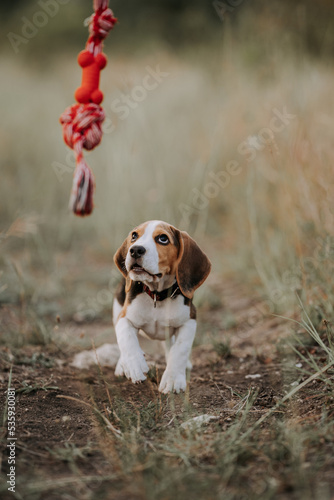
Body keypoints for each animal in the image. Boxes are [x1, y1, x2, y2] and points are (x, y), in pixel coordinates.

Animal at [112, 221, 211, 392]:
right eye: (134, 236)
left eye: (163, 239)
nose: (135, 250)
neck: (157, 295)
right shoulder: (123, 317)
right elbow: (126, 337)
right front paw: (134, 365)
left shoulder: (189, 321)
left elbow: (179, 349)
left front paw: (172, 379)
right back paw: (122, 365)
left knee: (170, 345)